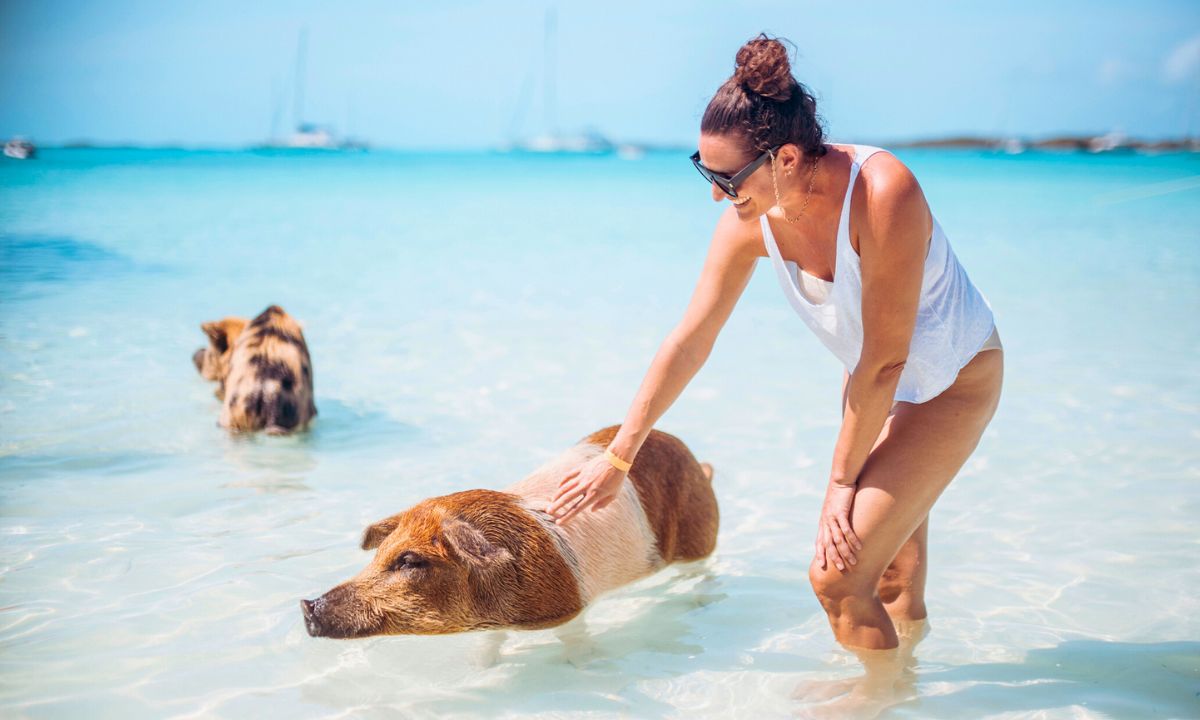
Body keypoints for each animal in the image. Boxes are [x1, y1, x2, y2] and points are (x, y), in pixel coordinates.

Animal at [304, 424, 715, 638]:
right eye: (380, 553)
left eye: (409, 560)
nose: (306, 604)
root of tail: (696, 461)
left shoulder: (569, 610)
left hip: (698, 536)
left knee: (701, 573)